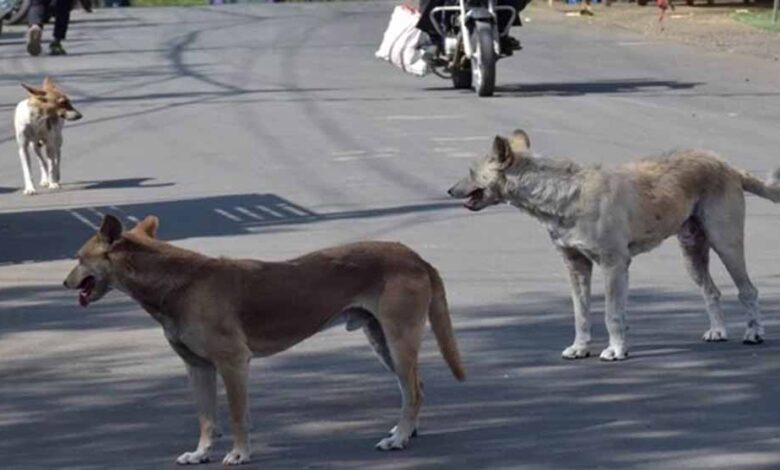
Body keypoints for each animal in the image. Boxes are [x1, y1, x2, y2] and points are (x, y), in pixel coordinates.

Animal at [64, 215, 465, 465]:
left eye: (80, 257)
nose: (65, 283)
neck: (177, 284)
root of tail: (415, 256)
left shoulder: (233, 363)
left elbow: (237, 415)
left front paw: (240, 454)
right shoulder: (197, 368)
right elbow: (206, 419)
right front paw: (201, 453)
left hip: (398, 337)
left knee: (412, 390)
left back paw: (399, 438)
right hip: (382, 340)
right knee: (415, 388)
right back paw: (405, 432)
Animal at [448, 130, 780, 361]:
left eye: (470, 172)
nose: (449, 191)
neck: (566, 195)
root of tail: (727, 165)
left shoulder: (614, 265)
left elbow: (612, 314)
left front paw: (616, 350)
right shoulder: (576, 267)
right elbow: (581, 313)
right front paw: (580, 348)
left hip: (726, 244)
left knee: (748, 291)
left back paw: (754, 333)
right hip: (692, 254)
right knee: (711, 292)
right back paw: (718, 331)